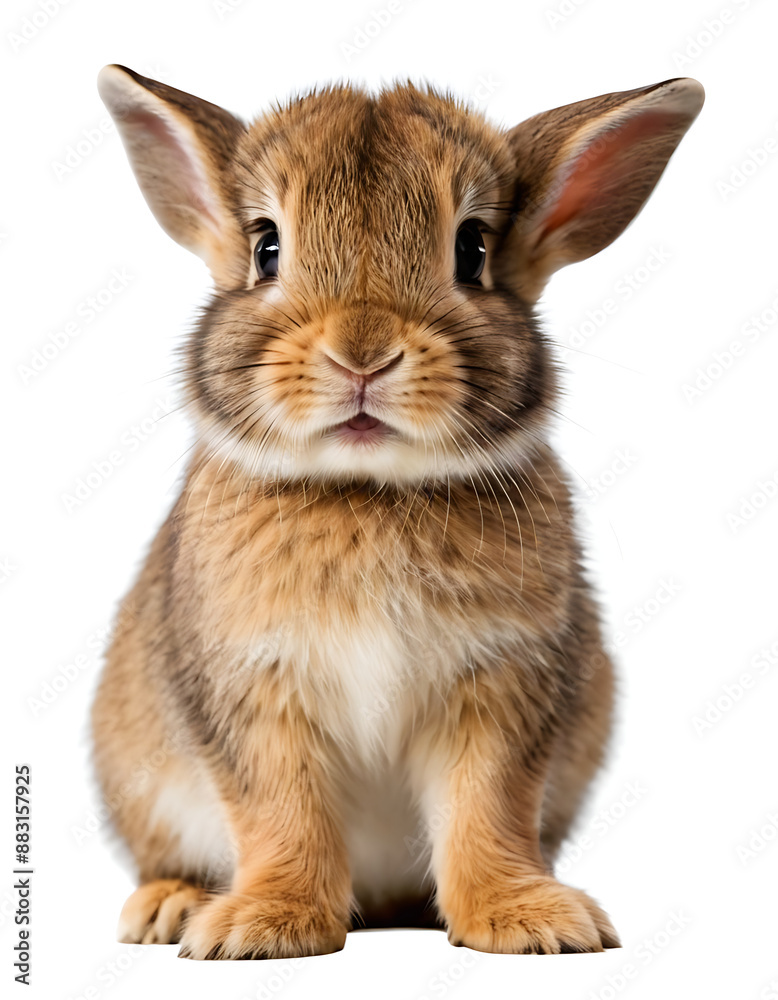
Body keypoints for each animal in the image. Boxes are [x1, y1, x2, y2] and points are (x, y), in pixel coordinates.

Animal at [91, 64, 703, 959]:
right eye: (266, 247)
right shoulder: (256, 689)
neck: (369, 488)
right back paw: (168, 906)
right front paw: (263, 926)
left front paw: (528, 922)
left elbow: (489, 806)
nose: (363, 353)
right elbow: (281, 809)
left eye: (472, 250)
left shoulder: (501, 686)